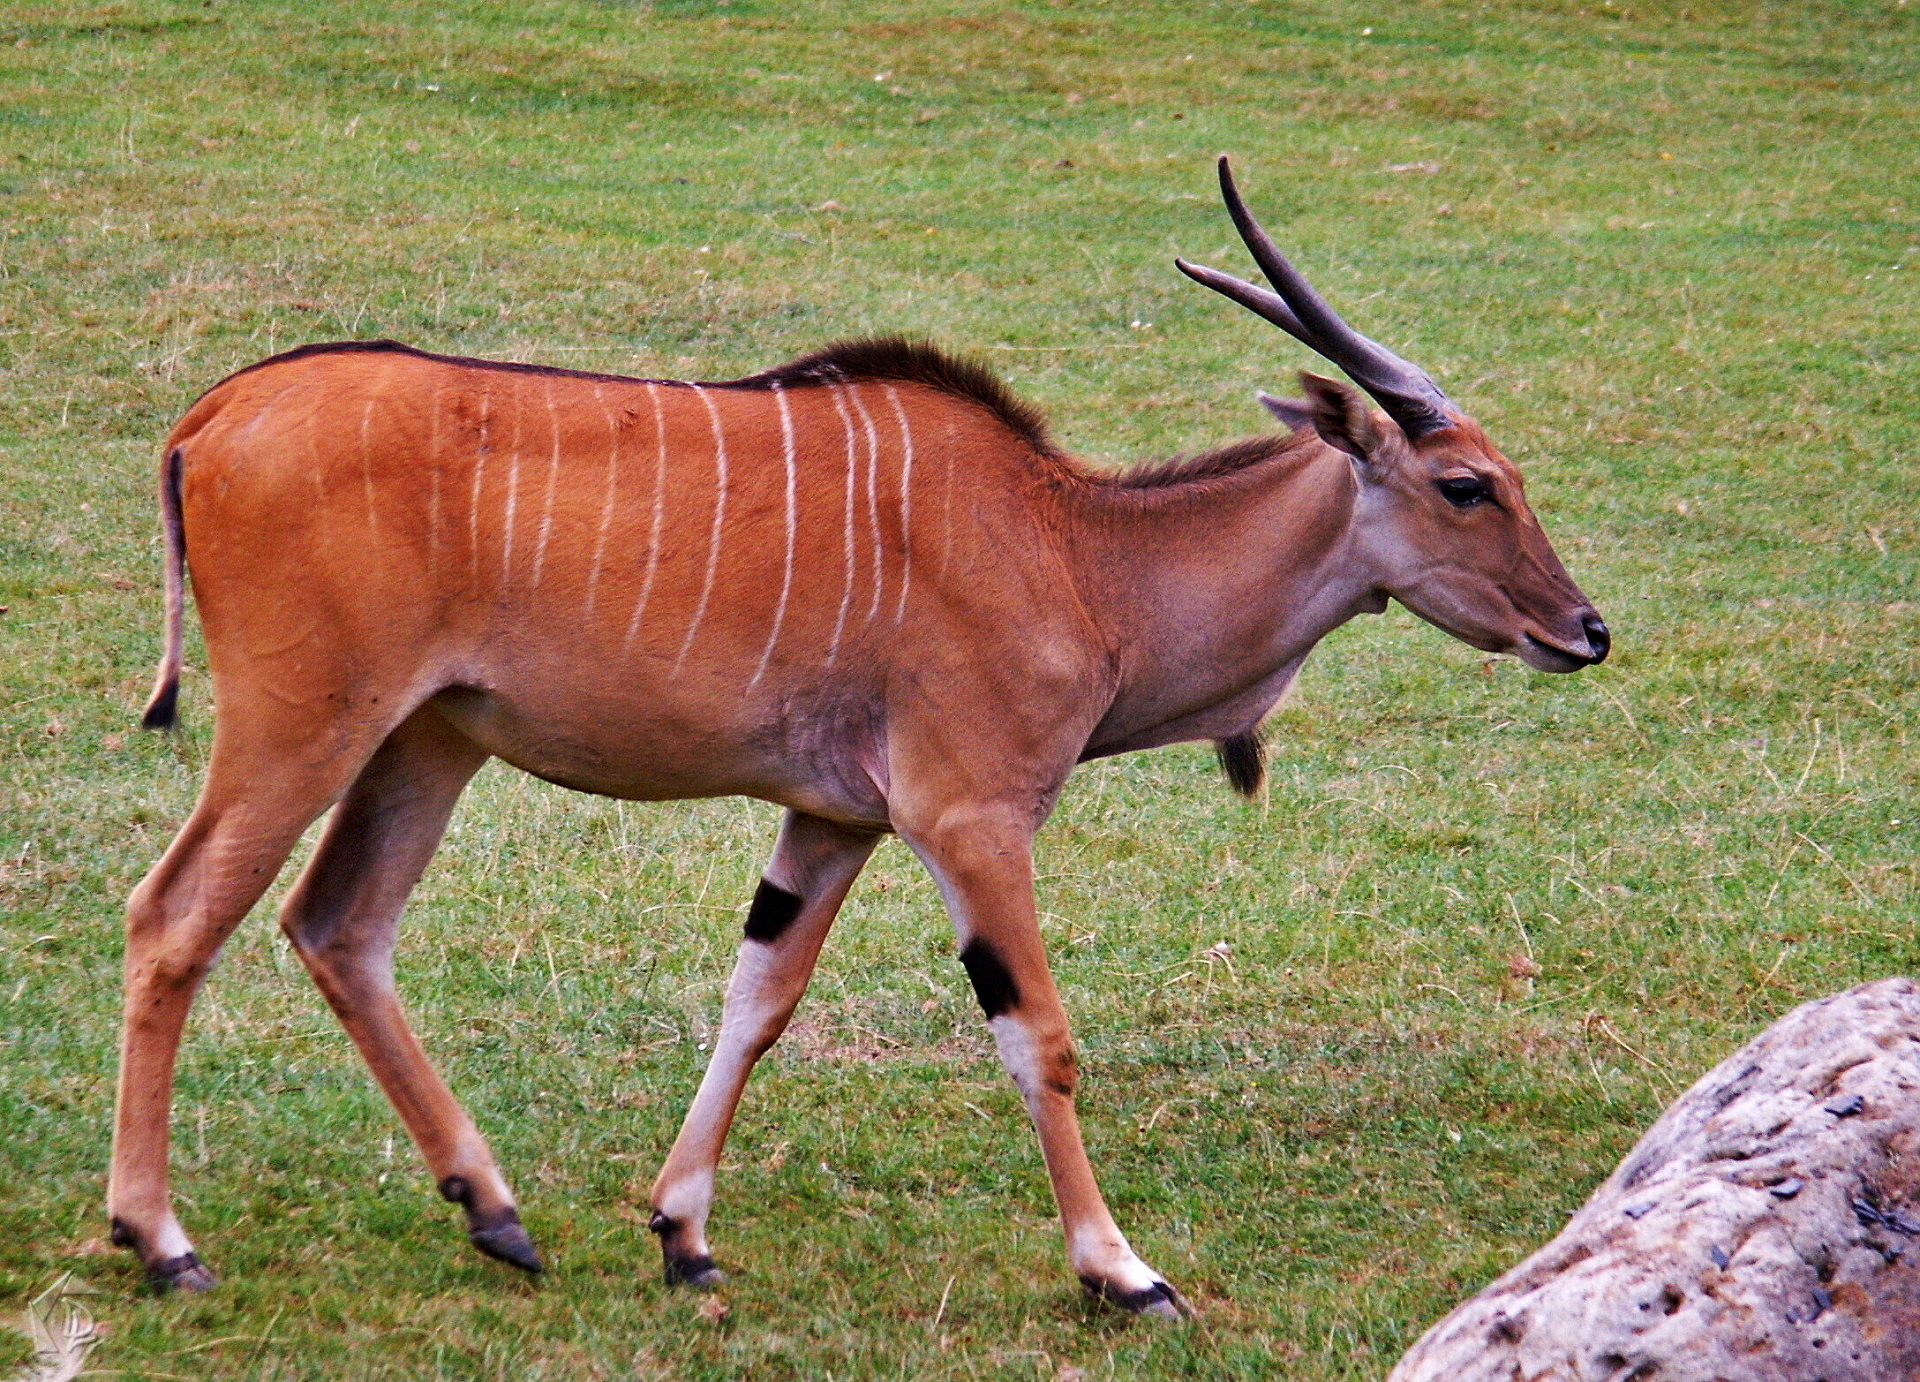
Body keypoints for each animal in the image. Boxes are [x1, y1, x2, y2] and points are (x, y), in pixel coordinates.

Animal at [111, 157, 1607, 1317]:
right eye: (1467, 485)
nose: (1586, 628)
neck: (1082, 554)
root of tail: (213, 413)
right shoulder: (969, 815)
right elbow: (1039, 1032)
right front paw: (1121, 1270)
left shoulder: (832, 820)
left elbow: (758, 1000)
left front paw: (683, 1231)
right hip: (301, 728)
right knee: (174, 914)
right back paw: (160, 1239)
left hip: (427, 741)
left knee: (340, 922)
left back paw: (494, 1210)